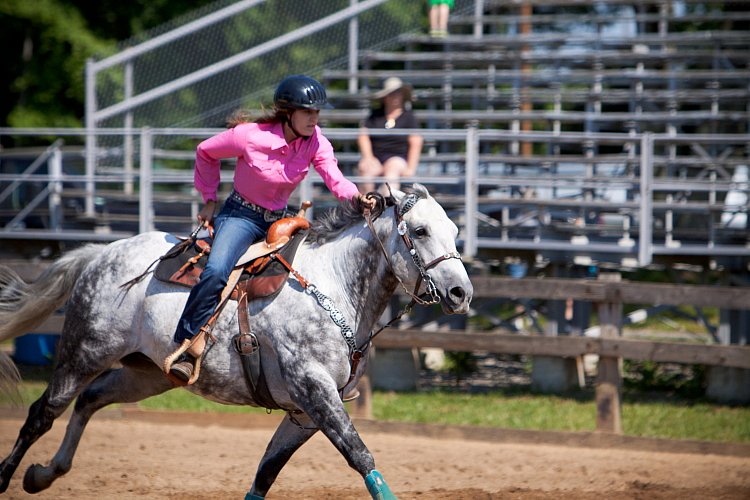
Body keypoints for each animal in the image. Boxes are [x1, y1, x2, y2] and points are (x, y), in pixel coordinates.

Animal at [0, 185, 472, 500]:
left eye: (453, 229)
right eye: (420, 230)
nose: (461, 293)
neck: (332, 286)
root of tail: (100, 254)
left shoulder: (305, 411)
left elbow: (267, 471)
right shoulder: (315, 391)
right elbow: (361, 456)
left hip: (148, 374)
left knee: (91, 399)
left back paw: (45, 474)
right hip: (84, 352)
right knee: (43, 413)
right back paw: (11, 476)